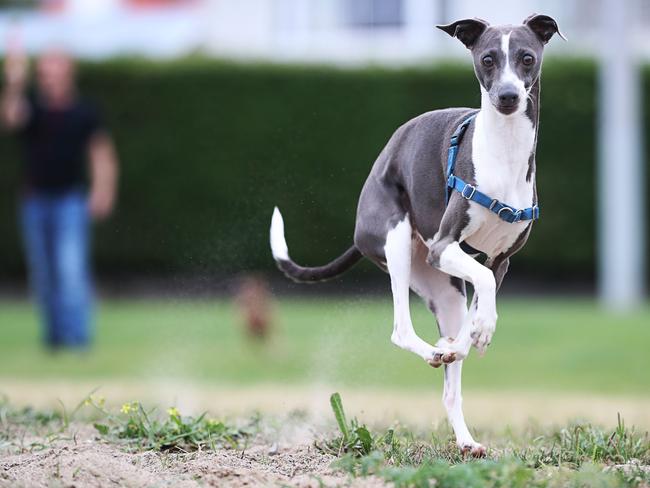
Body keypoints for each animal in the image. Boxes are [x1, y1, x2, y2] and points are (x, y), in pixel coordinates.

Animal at [268, 16, 560, 458]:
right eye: (487, 59)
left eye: (527, 58)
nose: (508, 97)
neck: (504, 152)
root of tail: (359, 230)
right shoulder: (443, 248)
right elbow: (481, 283)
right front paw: (479, 332)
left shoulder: (501, 261)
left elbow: (483, 295)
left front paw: (475, 334)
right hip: (400, 244)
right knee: (402, 329)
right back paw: (438, 349)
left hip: (445, 291)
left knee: (451, 382)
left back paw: (464, 426)